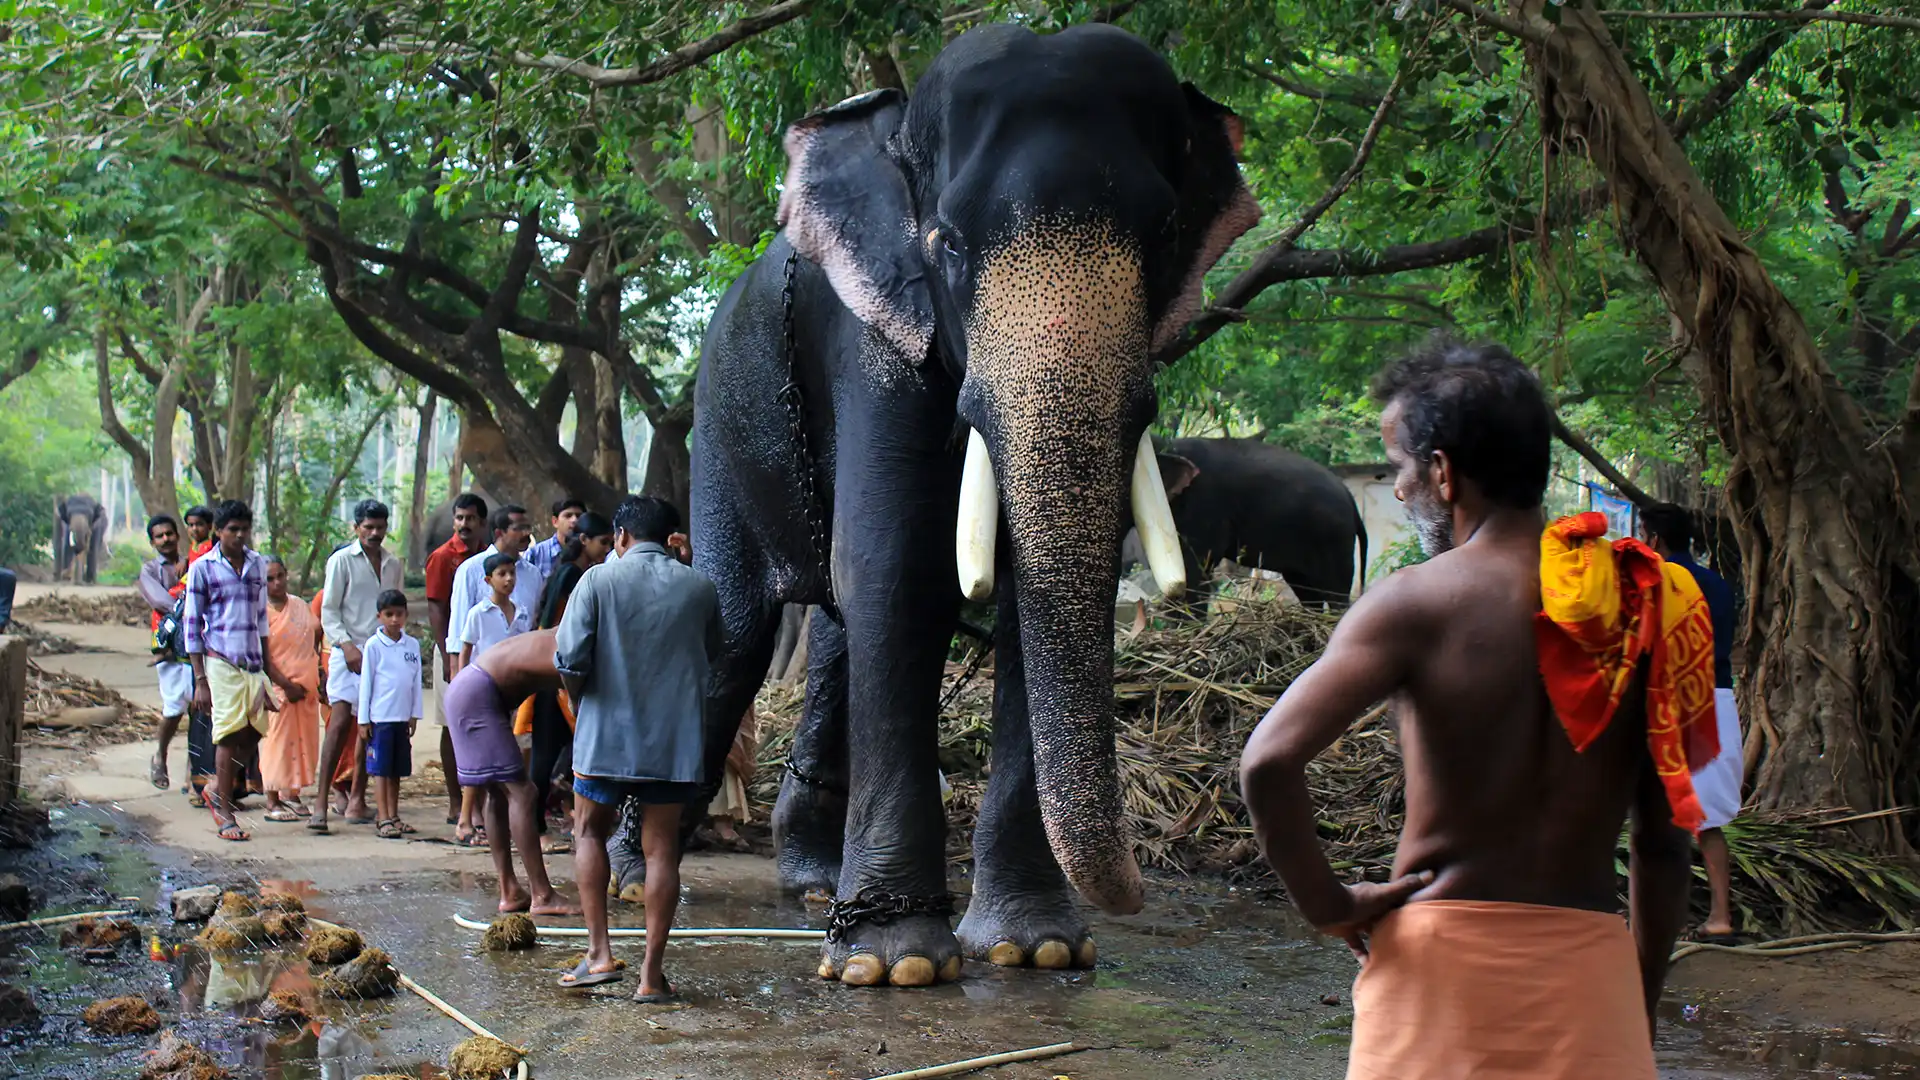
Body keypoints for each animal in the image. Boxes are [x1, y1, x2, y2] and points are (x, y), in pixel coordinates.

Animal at [689, 23, 1260, 987]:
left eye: (1167, 232)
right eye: (947, 241)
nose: (1146, 881)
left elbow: (1040, 588)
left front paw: (1039, 947)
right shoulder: (877, 342)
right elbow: (894, 569)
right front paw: (893, 965)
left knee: (831, 638)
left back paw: (811, 886)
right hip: (716, 434)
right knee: (732, 634)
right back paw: (628, 880)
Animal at [1130, 437, 1367, 608]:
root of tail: (1350, 498)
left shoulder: (1204, 508)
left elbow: (1195, 569)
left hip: (1335, 540)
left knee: (1335, 592)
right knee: (1308, 592)